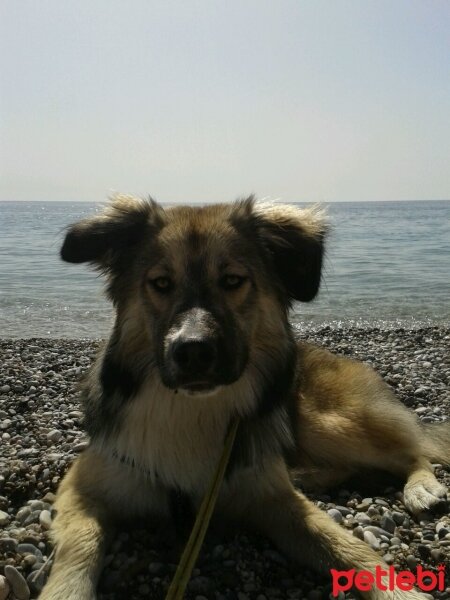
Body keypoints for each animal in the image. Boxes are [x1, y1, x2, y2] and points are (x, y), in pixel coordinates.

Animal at [39, 195, 450, 596]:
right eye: (161, 282)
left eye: (232, 280)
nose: (192, 351)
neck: (192, 408)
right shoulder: (82, 486)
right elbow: (81, 546)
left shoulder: (277, 500)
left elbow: (348, 547)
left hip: (326, 422)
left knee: (411, 452)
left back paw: (422, 488)